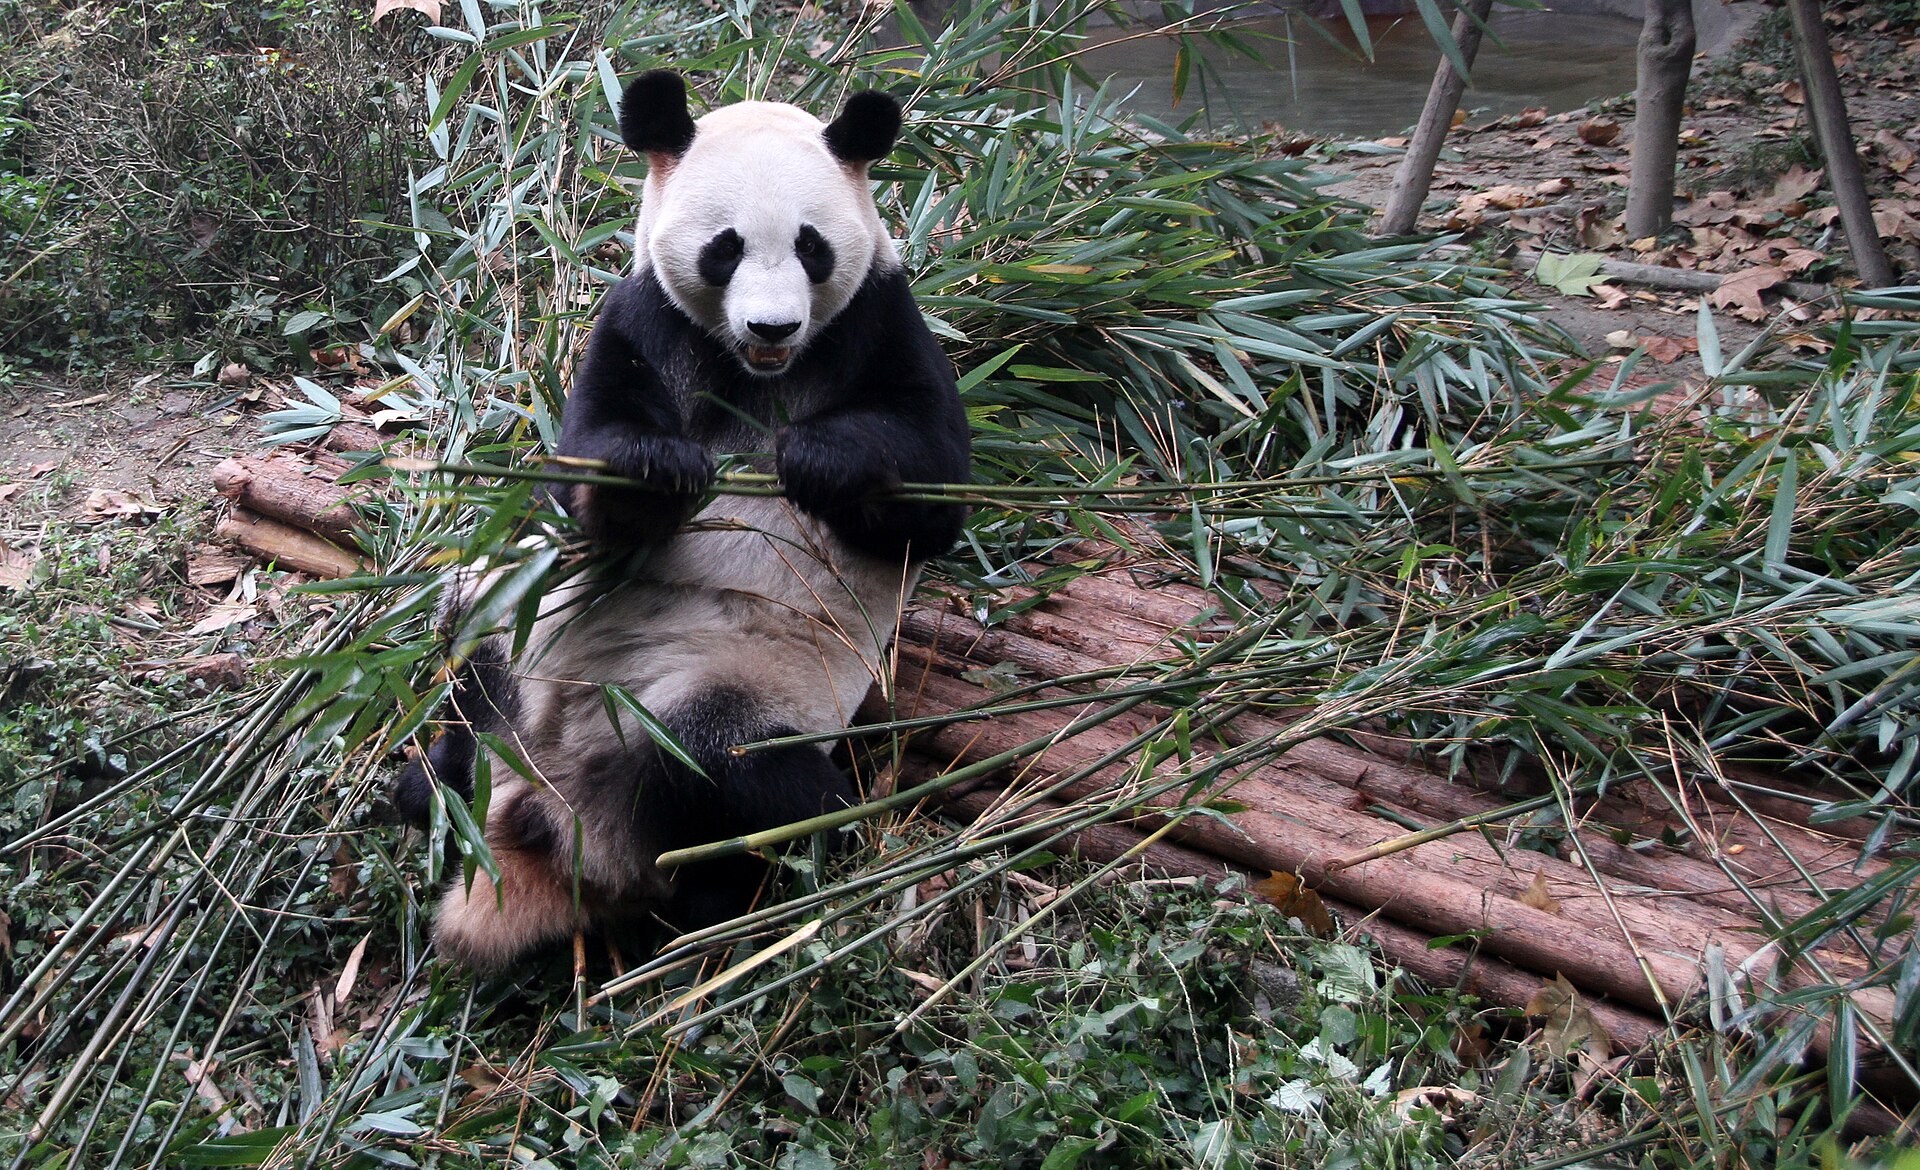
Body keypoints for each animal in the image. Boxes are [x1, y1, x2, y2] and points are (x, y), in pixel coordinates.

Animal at [393, 71, 971, 972]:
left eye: (811, 246)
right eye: (724, 247)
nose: (773, 325)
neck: (758, 373)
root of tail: (555, 809)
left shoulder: (879, 319)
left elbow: (932, 489)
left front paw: (811, 458)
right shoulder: (643, 320)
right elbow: (584, 470)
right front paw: (662, 470)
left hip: (725, 698)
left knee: (758, 789)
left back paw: (721, 904)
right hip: (519, 632)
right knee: (471, 672)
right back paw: (432, 785)